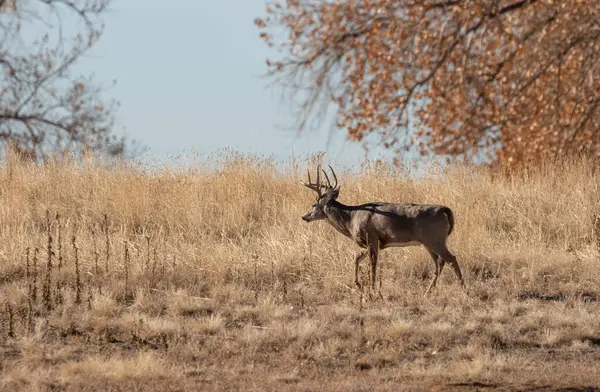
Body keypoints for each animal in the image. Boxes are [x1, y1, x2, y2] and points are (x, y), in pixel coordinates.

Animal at [302, 165, 466, 294]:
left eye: (314, 205)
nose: (305, 217)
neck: (351, 219)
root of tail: (445, 210)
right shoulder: (375, 243)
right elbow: (356, 258)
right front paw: (358, 284)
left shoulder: (372, 238)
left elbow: (372, 265)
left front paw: (372, 289)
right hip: (428, 242)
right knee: (439, 263)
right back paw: (428, 292)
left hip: (434, 239)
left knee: (451, 259)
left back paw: (464, 289)